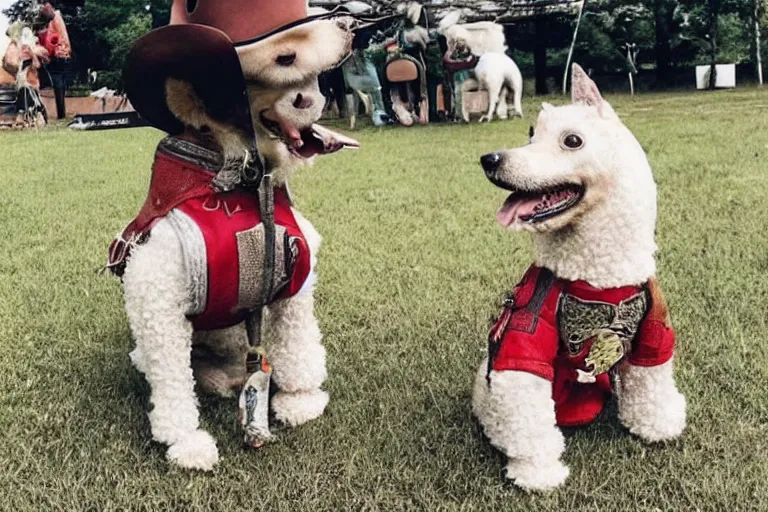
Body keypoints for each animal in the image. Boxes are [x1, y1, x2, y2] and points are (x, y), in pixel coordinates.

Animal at [106, 1, 364, 472]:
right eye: (285, 58)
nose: (350, 24)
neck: (242, 180)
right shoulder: (157, 300)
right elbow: (172, 385)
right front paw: (186, 444)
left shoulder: (296, 281)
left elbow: (299, 345)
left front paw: (300, 400)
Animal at [476, 64, 688, 492]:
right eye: (530, 133)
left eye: (572, 141)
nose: (490, 159)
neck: (597, 275)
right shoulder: (526, 330)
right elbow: (525, 400)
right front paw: (538, 472)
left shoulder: (655, 326)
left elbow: (652, 377)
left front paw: (657, 423)